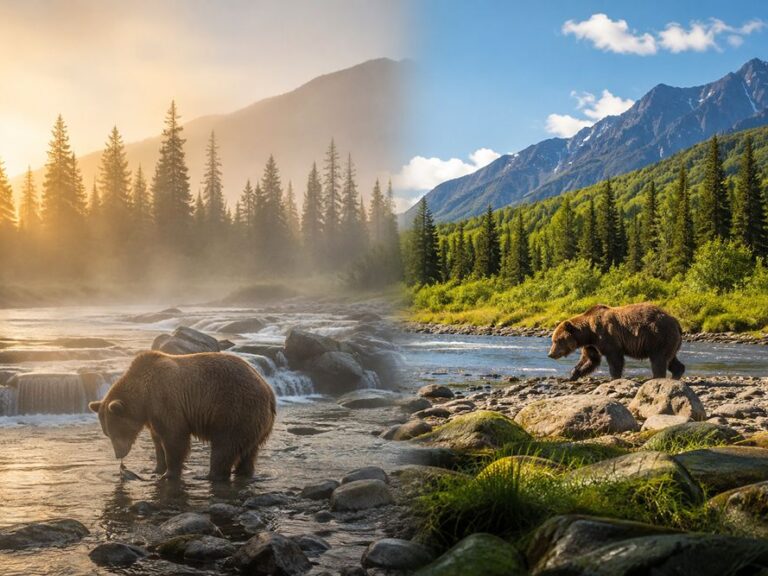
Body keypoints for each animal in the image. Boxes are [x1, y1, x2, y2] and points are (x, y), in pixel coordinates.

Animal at [89, 350, 276, 481]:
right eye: (107, 433)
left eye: (115, 432)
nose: (118, 454)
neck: (143, 398)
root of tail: (268, 391)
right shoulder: (152, 415)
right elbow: (157, 440)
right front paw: (157, 468)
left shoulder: (165, 400)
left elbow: (174, 437)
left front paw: (169, 473)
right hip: (254, 423)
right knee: (248, 452)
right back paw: (243, 472)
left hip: (235, 410)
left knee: (224, 446)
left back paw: (211, 475)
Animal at [548, 303, 685, 381]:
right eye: (553, 340)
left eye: (557, 341)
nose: (550, 354)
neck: (588, 332)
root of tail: (676, 322)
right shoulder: (592, 344)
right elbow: (591, 360)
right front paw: (573, 374)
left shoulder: (607, 336)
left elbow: (615, 359)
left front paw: (614, 377)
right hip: (670, 341)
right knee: (671, 359)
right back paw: (676, 374)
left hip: (658, 336)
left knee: (658, 360)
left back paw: (657, 378)